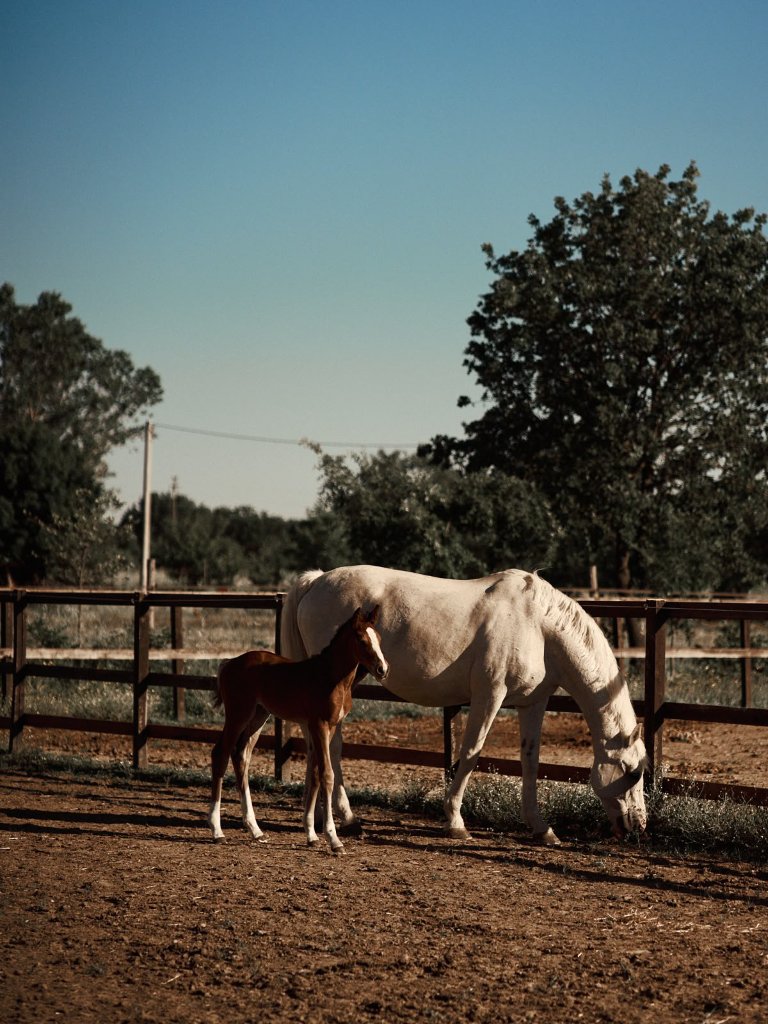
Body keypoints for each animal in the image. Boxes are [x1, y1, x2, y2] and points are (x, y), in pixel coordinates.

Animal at [208, 605, 389, 854]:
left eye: (379, 638)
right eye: (362, 640)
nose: (383, 669)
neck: (330, 676)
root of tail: (228, 663)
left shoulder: (328, 727)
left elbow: (314, 775)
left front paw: (312, 835)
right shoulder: (319, 725)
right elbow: (327, 775)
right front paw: (333, 839)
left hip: (258, 716)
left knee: (241, 756)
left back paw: (255, 830)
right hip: (238, 715)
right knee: (220, 754)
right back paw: (217, 831)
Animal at [280, 565, 648, 846]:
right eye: (633, 771)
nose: (640, 825)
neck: (538, 626)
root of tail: (315, 581)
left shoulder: (533, 702)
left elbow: (530, 761)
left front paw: (542, 828)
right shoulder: (490, 695)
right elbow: (471, 753)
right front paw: (456, 821)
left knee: (320, 745)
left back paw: (321, 816)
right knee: (332, 745)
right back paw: (348, 817)